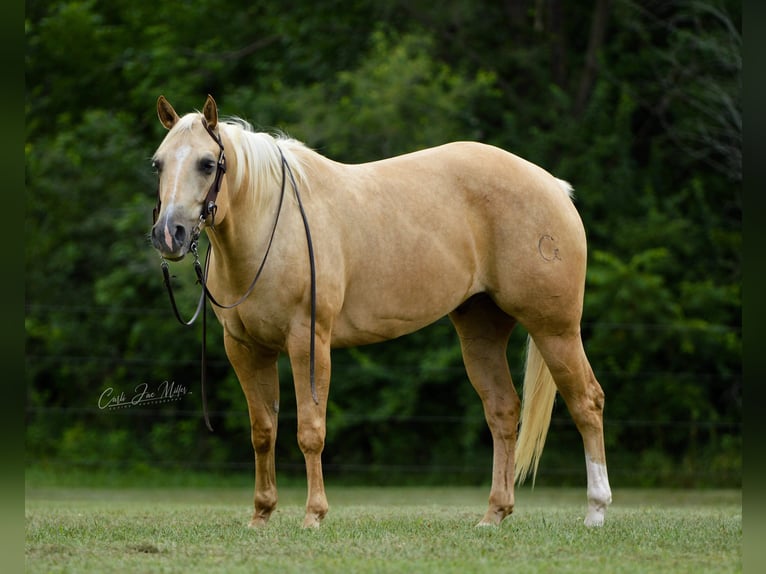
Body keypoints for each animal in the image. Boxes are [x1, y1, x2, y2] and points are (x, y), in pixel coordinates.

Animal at [150, 94, 616, 532]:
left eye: (207, 163)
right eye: (158, 164)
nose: (169, 234)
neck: (271, 226)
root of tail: (553, 186)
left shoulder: (308, 342)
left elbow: (310, 431)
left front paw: (314, 515)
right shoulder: (246, 349)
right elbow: (263, 432)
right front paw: (261, 515)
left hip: (555, 329)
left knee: (587, 402)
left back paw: (596, 511)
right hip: (481, 331)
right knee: (503, 411)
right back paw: (494, 514)